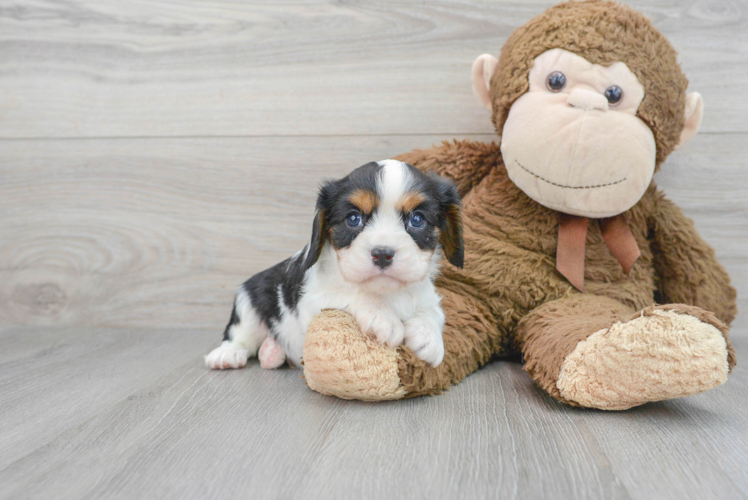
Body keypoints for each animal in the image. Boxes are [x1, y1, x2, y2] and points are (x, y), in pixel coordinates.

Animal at [205, 160, 462, 372]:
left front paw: (429, 337)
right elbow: (353, 293)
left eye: (417, 219)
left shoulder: (427, 295)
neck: (386, 292)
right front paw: (383, 318)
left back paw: (272, 353)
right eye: (353, 218)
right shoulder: (312, 301)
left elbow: (433, 312)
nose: (382, 254)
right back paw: (228, 354)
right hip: (248, 300)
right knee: (239, 336)